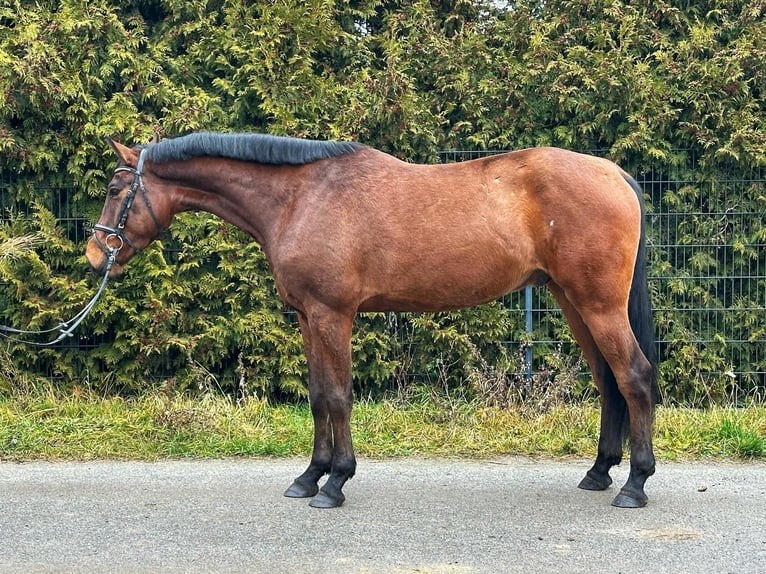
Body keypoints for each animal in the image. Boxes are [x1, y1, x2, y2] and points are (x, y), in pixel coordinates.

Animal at [85, 132, 658, 509]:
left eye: (116, 190)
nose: (94, 256)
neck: (300, 196)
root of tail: (615, 174)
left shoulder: (332, 315)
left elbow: (338, 396)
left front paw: (336, 483)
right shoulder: (307, 318)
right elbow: (319, 396)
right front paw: (308, 477)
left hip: (598, 305)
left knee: (634, 377)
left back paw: (635, 484)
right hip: (572, 301)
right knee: (608, 382)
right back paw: (599, 473)